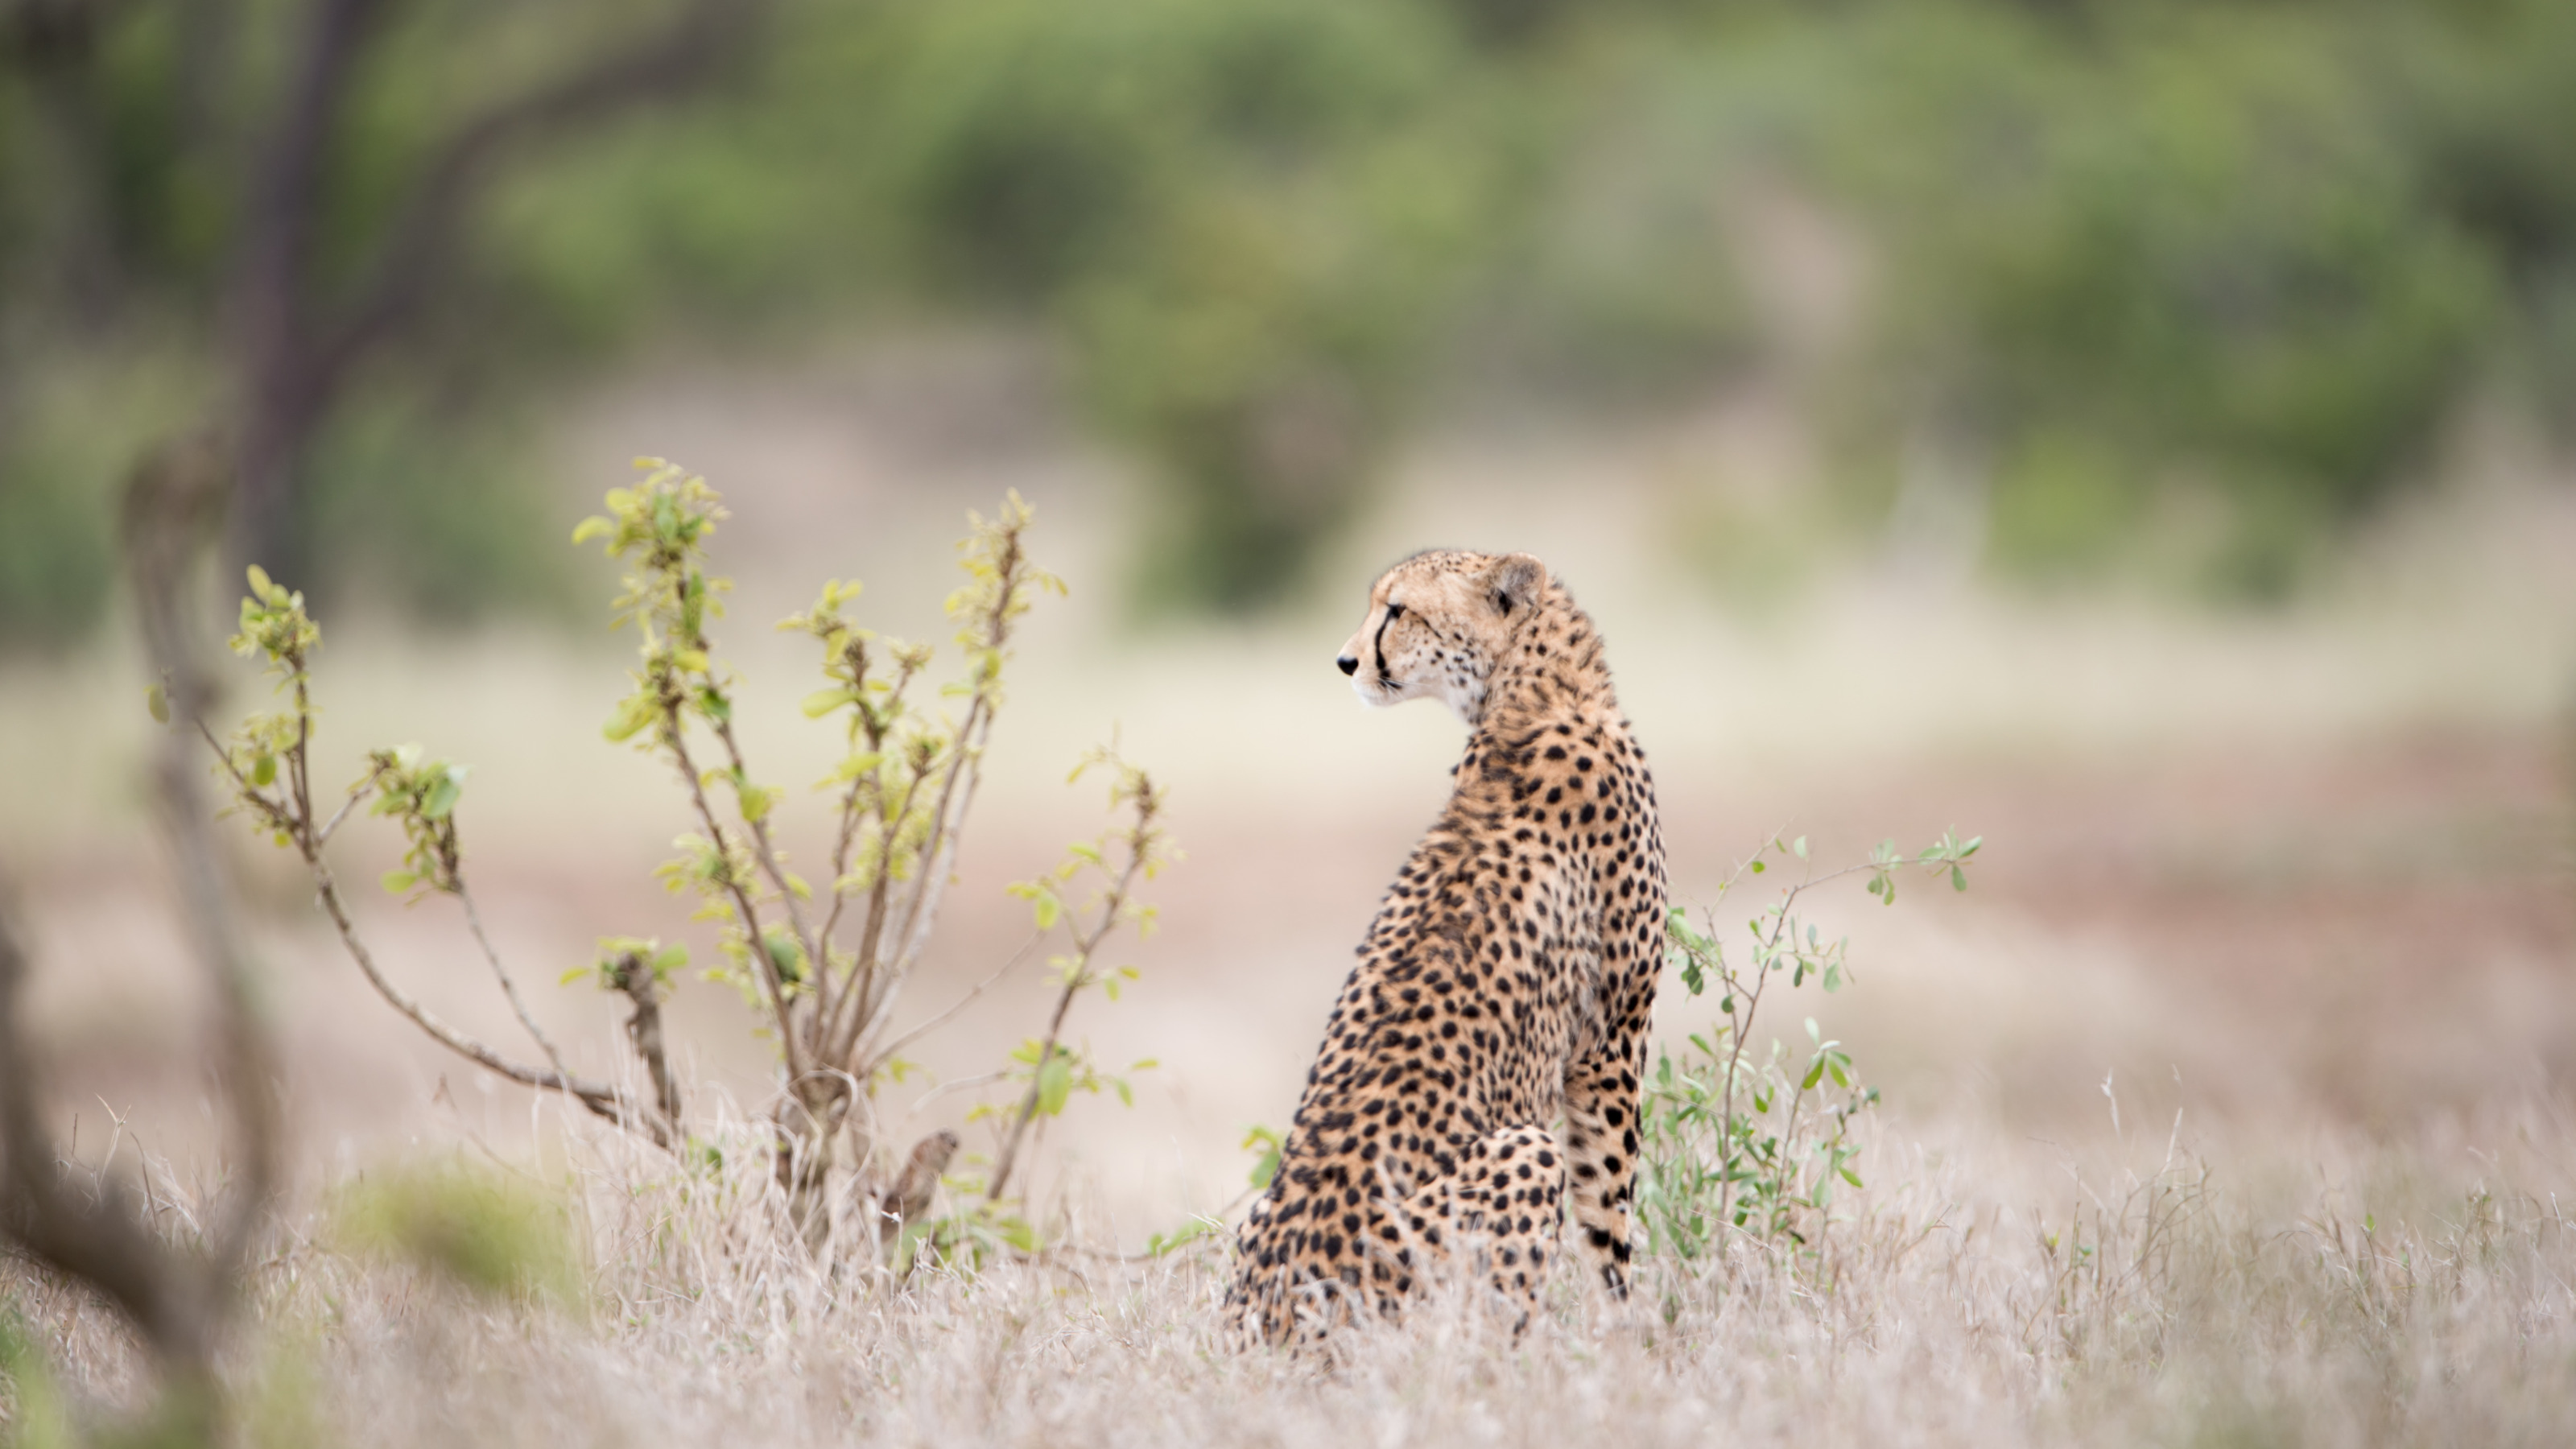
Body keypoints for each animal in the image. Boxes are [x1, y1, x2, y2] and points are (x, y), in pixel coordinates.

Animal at [1226, 543, 1669, 1340]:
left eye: (1397, 610)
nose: (1344, 661)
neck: (1538, 694)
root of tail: (1265, 1324)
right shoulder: (1613, 1037)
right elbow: (1607, 1208)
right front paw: (1625, 1334)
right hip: (1521, 1156)